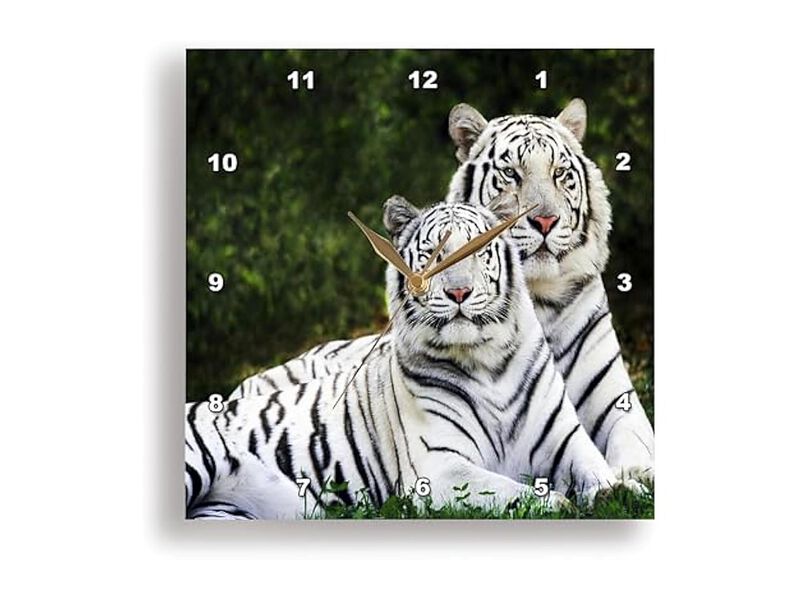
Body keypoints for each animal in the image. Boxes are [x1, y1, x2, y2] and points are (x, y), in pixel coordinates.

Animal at [187, 198, 623, 519]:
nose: (458, 292)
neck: (488, 363)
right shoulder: (439, 468)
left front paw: (617, 490)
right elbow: (510, 490)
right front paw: (558, 503)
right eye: (432, 254)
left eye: (479, 250)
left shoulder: (566, 440)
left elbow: (596, 469)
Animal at [230, 99, 655, 483]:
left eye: (560, 173)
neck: (536, 298)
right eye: (511, 173)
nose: (545, 221)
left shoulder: (615, 400)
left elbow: (633, 443)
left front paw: (632, 476)